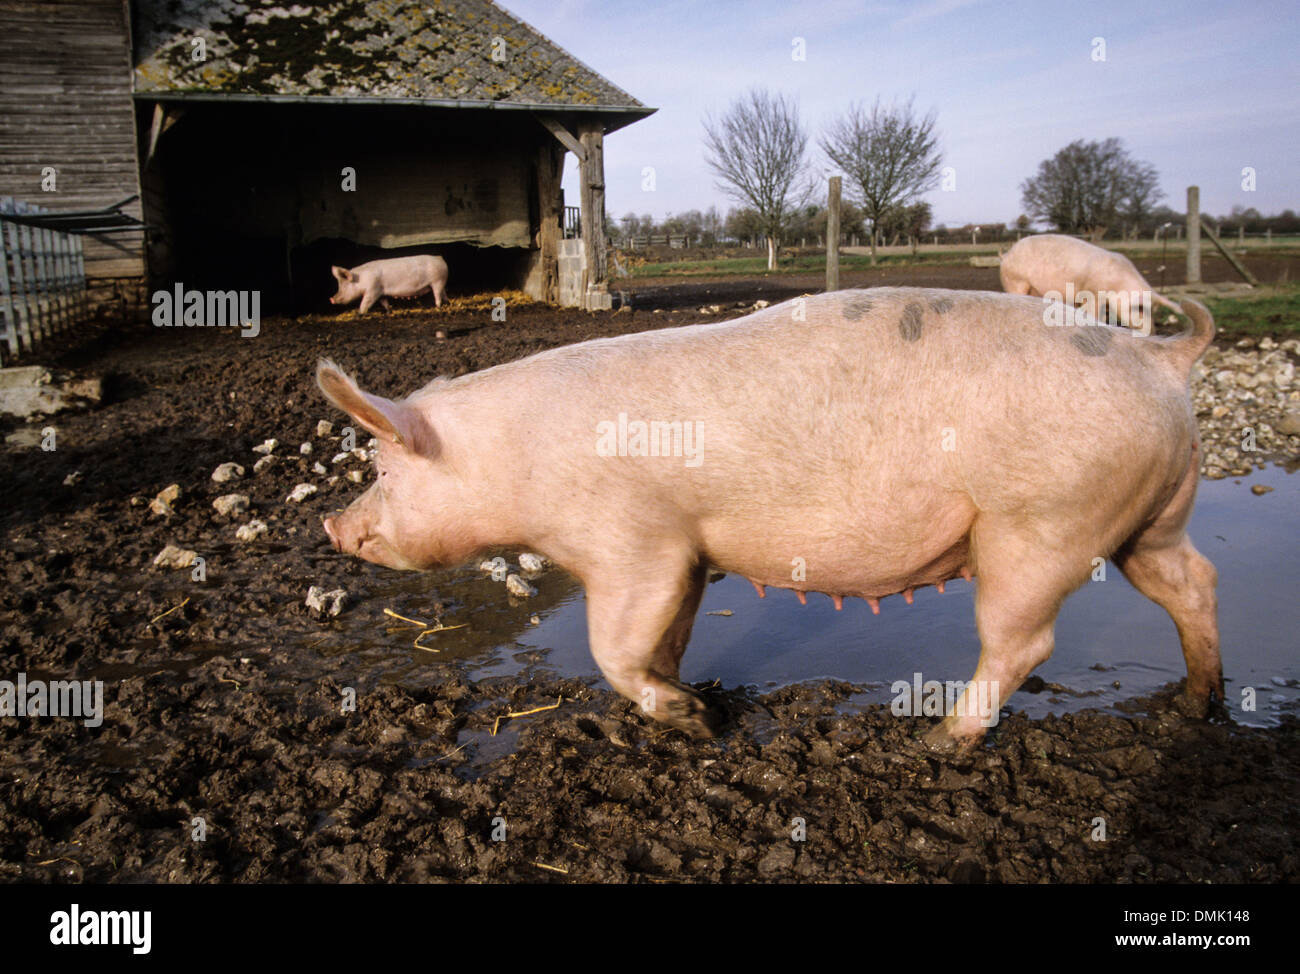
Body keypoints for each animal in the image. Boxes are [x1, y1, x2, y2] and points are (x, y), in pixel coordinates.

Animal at [314, 287, 1216, 743]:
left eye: (384, 469)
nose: (333, 527)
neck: (514, 462)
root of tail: (1162, 358)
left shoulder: (632, 545)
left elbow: (613, 647)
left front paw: (694, 721)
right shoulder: (687, 553)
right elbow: (669, 634)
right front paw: (697, 701)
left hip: (1038, 526)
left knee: (1025, 641)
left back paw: (937, 742)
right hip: (1151, 515)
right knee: (1193, 581)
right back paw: (1197, 702)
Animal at [998, 234, 1185, 332]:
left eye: (1153, 311)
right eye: (1138, 307)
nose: (1152, 332)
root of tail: (1006, 255)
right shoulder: (1093, 293)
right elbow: (1093, 314)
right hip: (1016, 281)